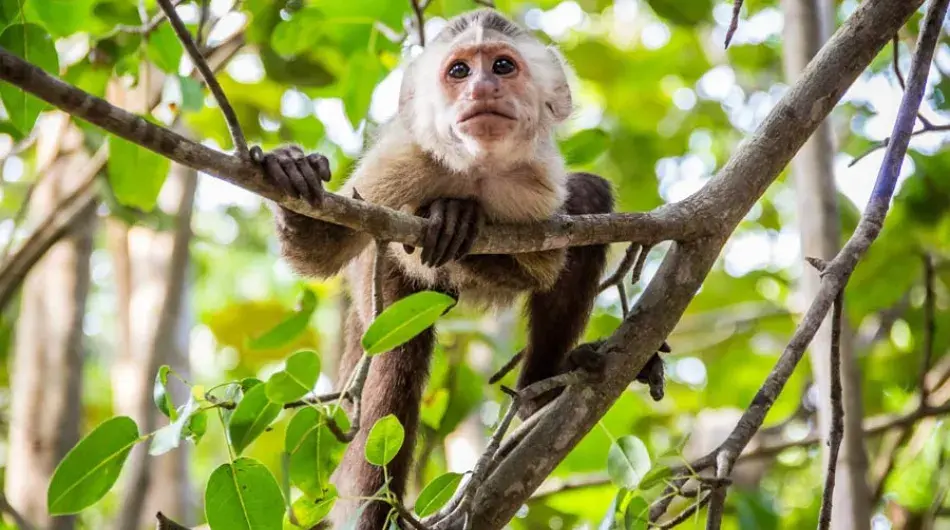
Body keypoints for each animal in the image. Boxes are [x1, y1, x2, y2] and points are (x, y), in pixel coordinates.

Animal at [257, 9, 666, 528]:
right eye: (459, 71)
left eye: (503, 66)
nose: (482, 88)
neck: (475, 171)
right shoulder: (398, 166)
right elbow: (323, 251)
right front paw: (292, 170)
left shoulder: (537, 187)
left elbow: (542, 267)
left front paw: (457, 217)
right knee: (394, 358)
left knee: (589, 195)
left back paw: (538, 390)